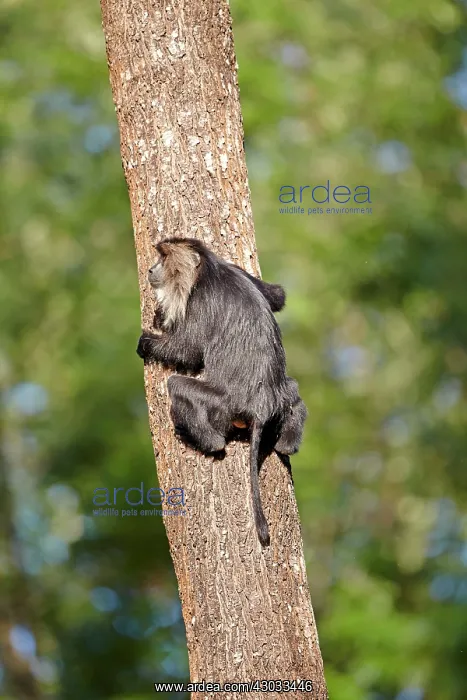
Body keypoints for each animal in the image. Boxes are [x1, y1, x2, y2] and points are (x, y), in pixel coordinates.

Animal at [137, 237, 307, 546]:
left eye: (164, 258)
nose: (151, 270)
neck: (210, 270)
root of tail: (261, 406)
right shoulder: (236, 270)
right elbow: (276, 296)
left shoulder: (201, 298)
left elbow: (188, 350)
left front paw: (146, 340)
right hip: (283, 396)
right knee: (294, 392)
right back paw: (287, 441)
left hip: (224, 404)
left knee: (179, 388)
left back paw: (200, 439)